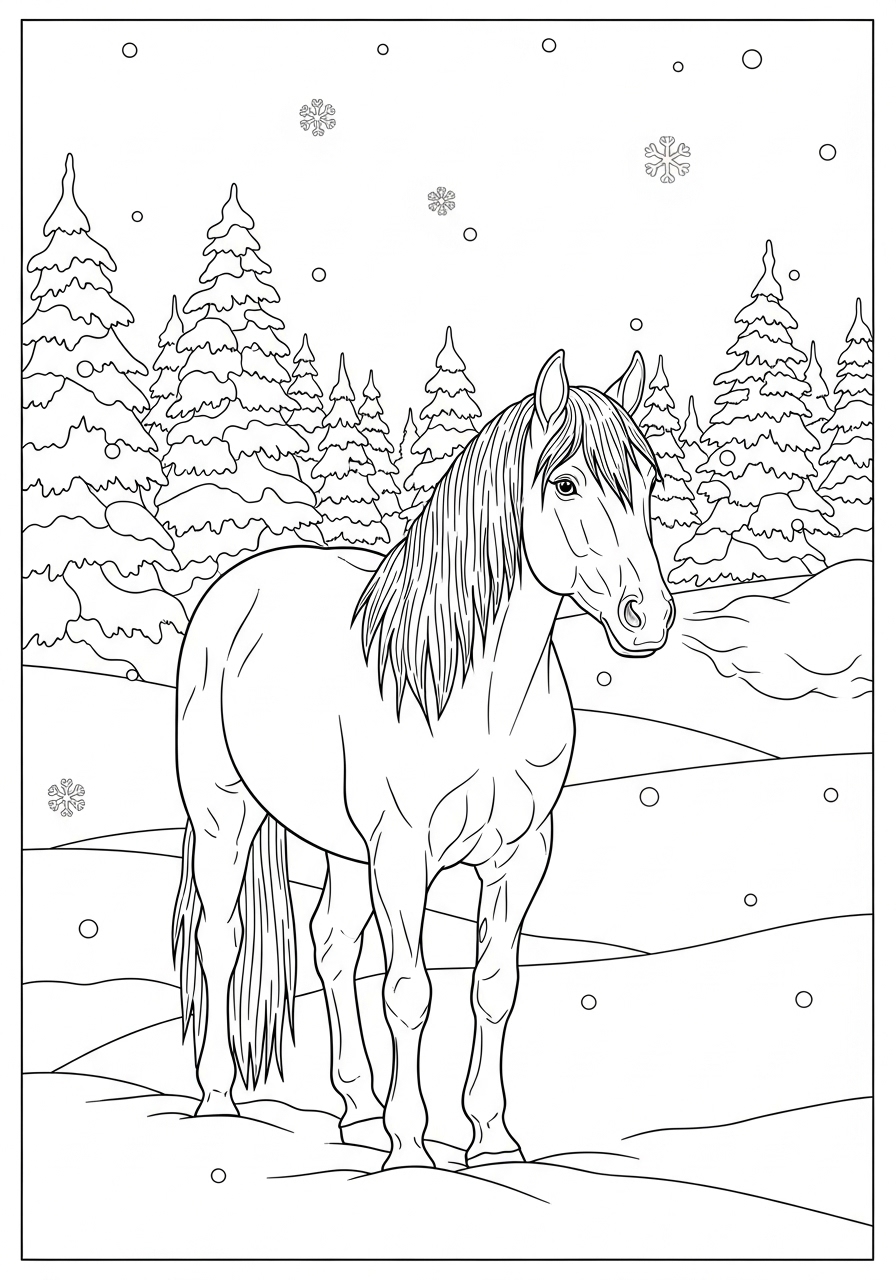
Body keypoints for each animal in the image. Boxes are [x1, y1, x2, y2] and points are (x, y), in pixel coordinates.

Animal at [172, 348, 674, 1170]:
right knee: (219, 942)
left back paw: (355, 1110)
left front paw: (493, 1140)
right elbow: (409, 992)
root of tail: (239, 580)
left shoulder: (518, 856)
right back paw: (218, 1100)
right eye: (566, 483)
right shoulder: (403, 854)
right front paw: (411, 1148)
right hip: (225, 815)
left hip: (342, 847)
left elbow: (493, 985)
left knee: (332, 945)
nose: (649, 619)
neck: (481, 697)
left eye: (650, 483)